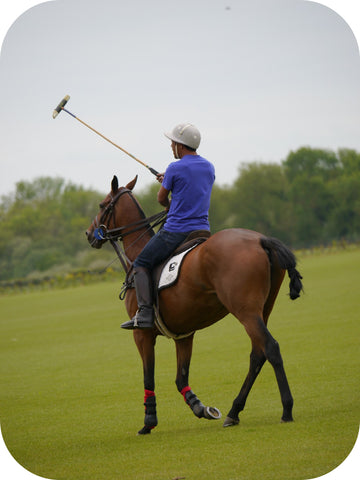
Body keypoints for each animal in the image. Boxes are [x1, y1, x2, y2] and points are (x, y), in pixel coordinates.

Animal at [86, 175, 302, 436]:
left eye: (102, 205)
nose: (89, 233)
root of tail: (261, 239)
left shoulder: (142, 335)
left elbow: (149, 377)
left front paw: (148, 421)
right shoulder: (184, 334)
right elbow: (181, 378)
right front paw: (201, 408)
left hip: (245, 311)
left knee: (271, 348)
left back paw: (286, 409)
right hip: (263, 309)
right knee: (257, 354)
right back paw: (233, 412)